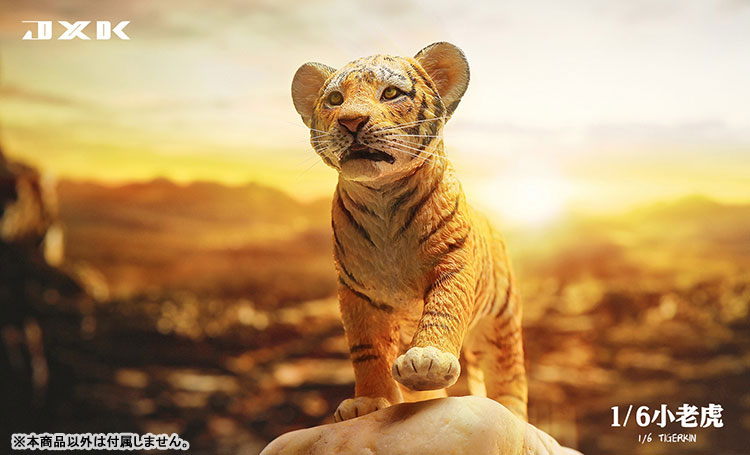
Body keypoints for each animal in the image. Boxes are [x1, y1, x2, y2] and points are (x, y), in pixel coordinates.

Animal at [291, 42, 528, 423]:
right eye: (335, 99)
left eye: (390, 93)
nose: (351, 120)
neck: (383, 197)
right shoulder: (357, 292)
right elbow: (367, 349)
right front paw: (368, 401)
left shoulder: (453, 263)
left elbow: (444, 309)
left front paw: (429, 361)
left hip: (500, 323)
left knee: (509, 372)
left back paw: (511, 412)